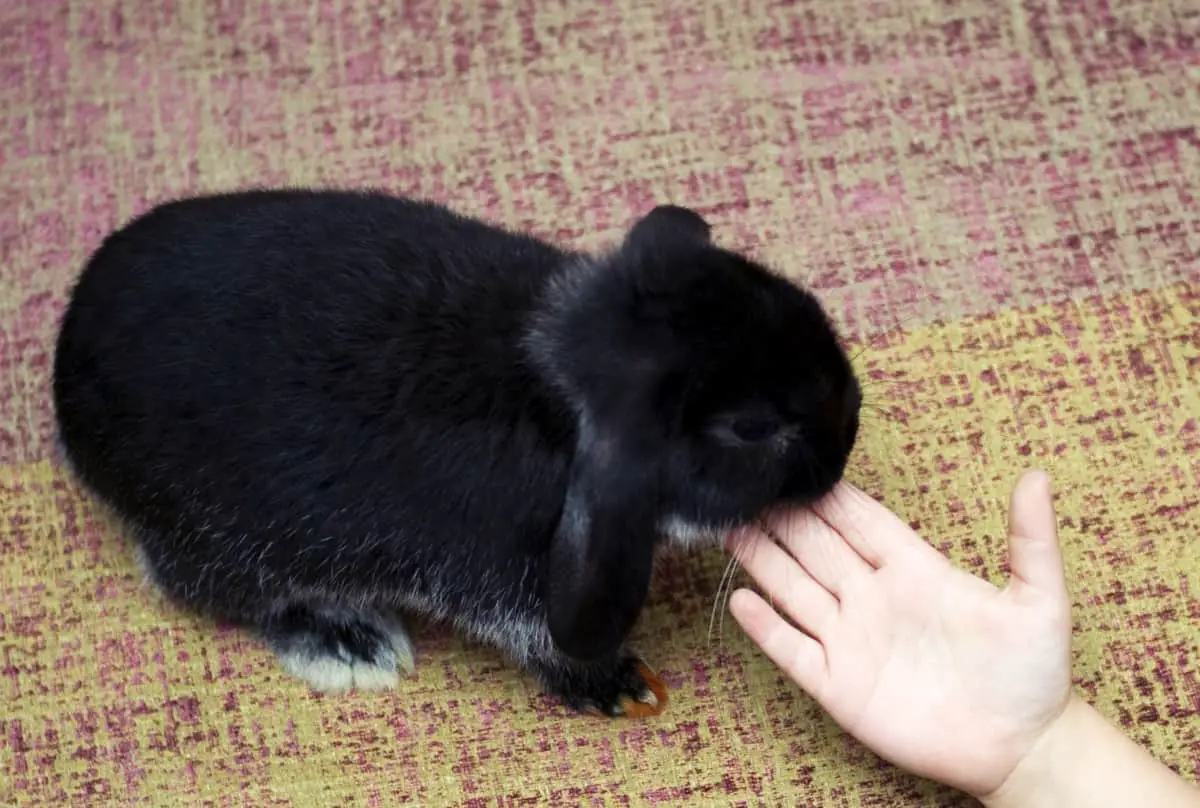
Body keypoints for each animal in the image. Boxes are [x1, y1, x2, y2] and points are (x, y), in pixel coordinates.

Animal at [52, 189, 862, 716]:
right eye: (751, 429)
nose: (850, 426)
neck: (559, 387)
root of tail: (65, 366)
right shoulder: (505, 571)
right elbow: (542, 639)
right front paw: (621, 685)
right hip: (226, 539)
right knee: (201, 588)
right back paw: (348, 642)